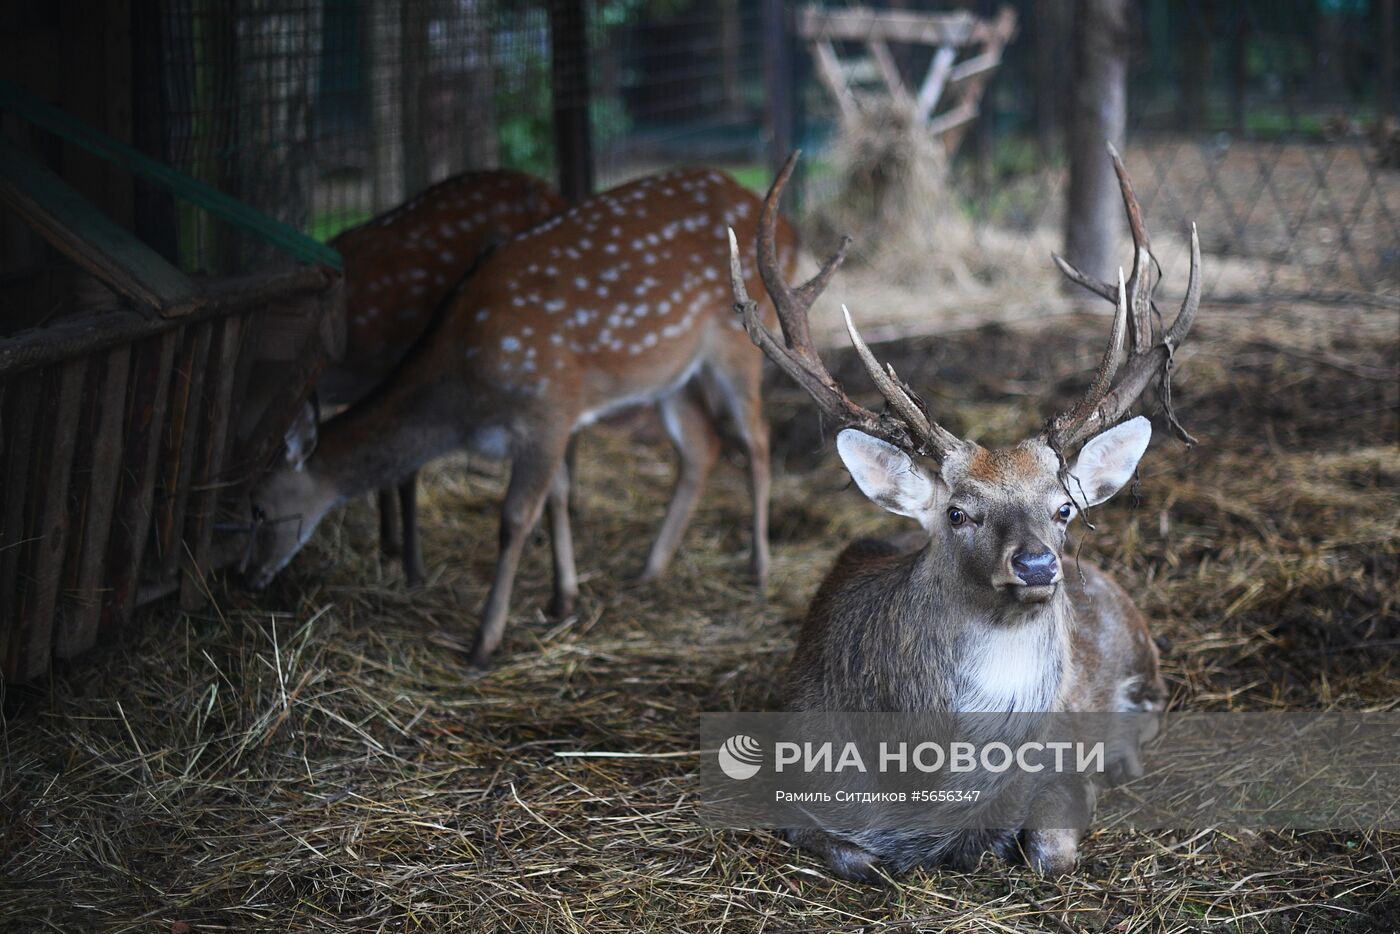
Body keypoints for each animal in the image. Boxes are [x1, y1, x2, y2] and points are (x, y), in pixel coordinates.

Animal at [728, 147, 1198, 884]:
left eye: (1065, 507)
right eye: (958, 513)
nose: (1036, 563)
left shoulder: (1062, 764)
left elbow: (1049, 848)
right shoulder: (799, 782)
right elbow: (859, 858)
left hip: (1146, 661)